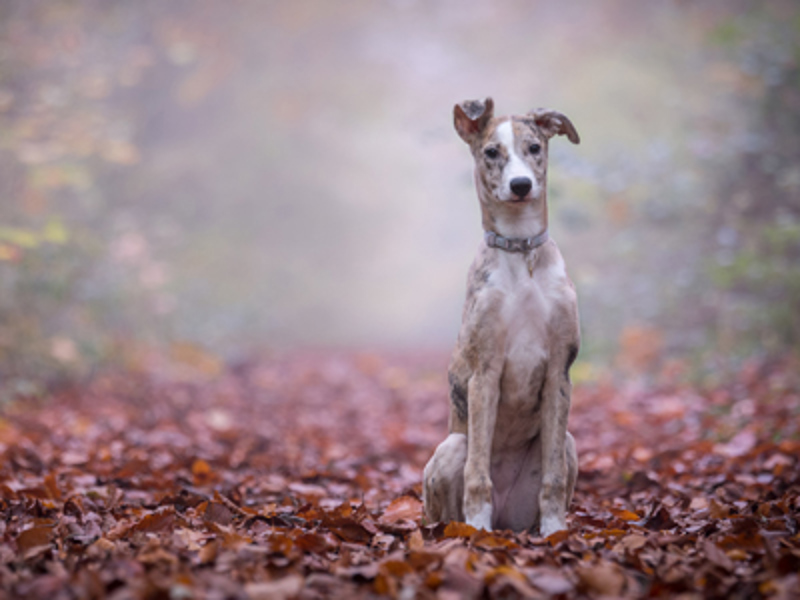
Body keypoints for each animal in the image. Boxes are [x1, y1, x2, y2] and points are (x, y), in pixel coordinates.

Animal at [424, 98, 580, 540]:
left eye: (535, 147)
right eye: (492, 152)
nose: (521, 185)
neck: (520, 250)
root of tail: (509, 521)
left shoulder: (558, 372)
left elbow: (553, 479)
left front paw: (555, 532)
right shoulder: (485, 373)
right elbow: (478, 475)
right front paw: (478, 530)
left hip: (568, 441)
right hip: (450, 448)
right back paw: (470, 528)